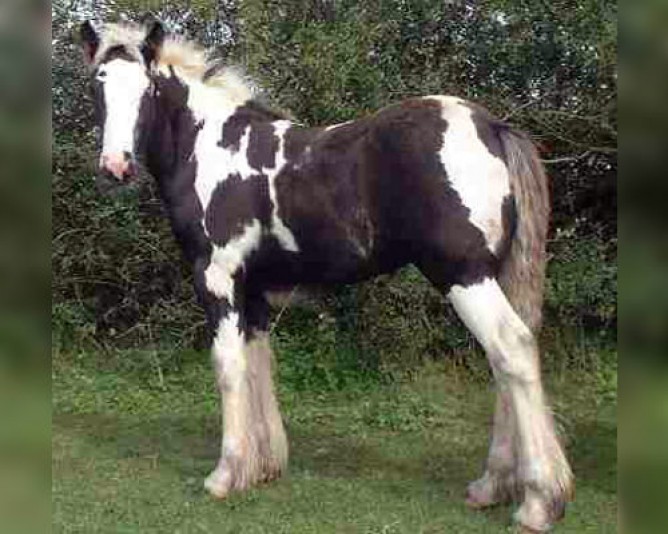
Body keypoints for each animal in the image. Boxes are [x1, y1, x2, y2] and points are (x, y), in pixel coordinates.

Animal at [79, 19, 576, 532]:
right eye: (98, 83)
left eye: (149, 88)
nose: (116, 166)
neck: (211, 149)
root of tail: (493, 128)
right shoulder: (253, 292)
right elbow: (260, 365)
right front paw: (264, 467)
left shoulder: (218, 280)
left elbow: (229, 368)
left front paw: (226, 473)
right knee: (505, 362)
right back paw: (491, 486)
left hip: (464, 274)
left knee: (512, 350)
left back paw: (538, 502)